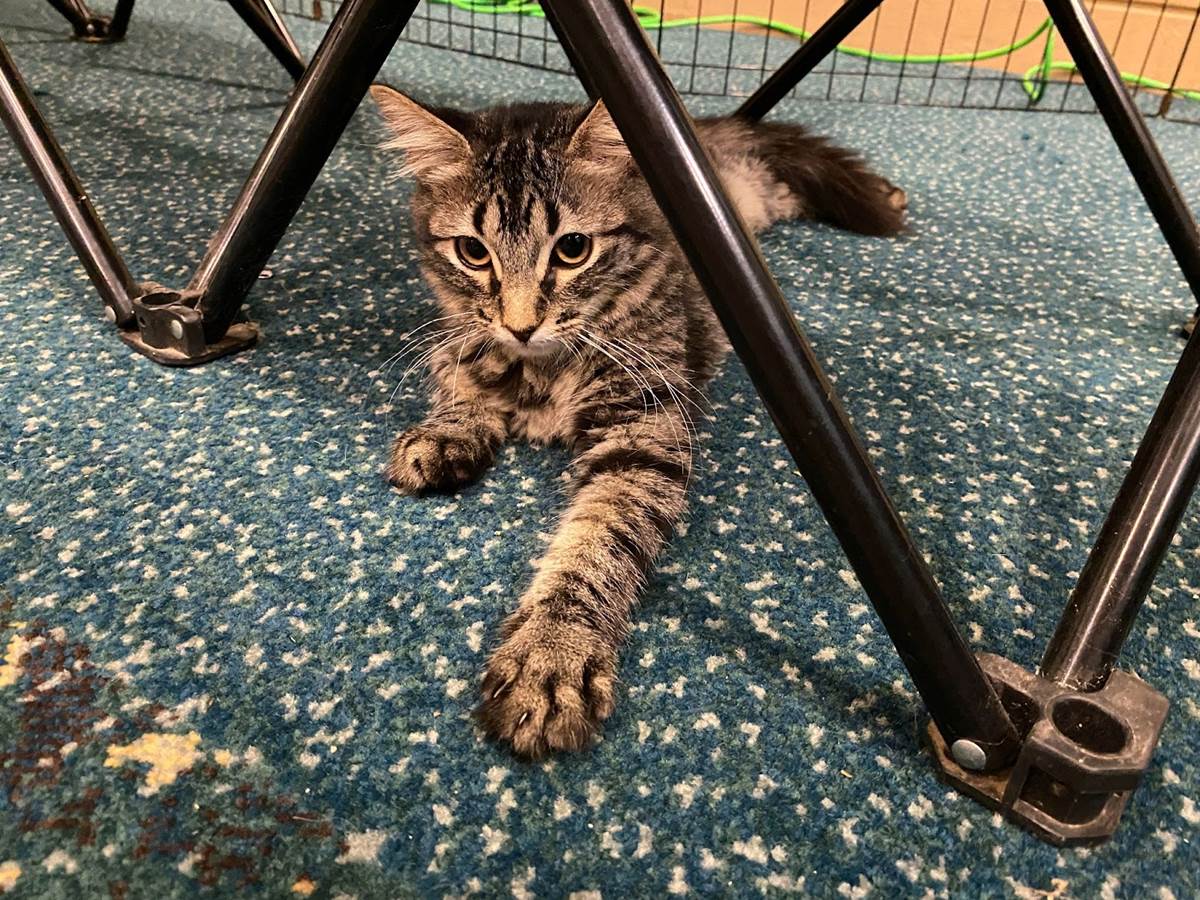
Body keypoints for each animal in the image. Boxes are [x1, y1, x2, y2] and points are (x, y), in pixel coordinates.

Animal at [370, 84, 906, 758]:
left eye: (572, 250)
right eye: (473, 252)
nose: (521, 325)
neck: (542, 369)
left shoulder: (644, 430)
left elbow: (595, 548)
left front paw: (551, 655)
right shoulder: (462, 339)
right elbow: (459, 372)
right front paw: (448, 430)